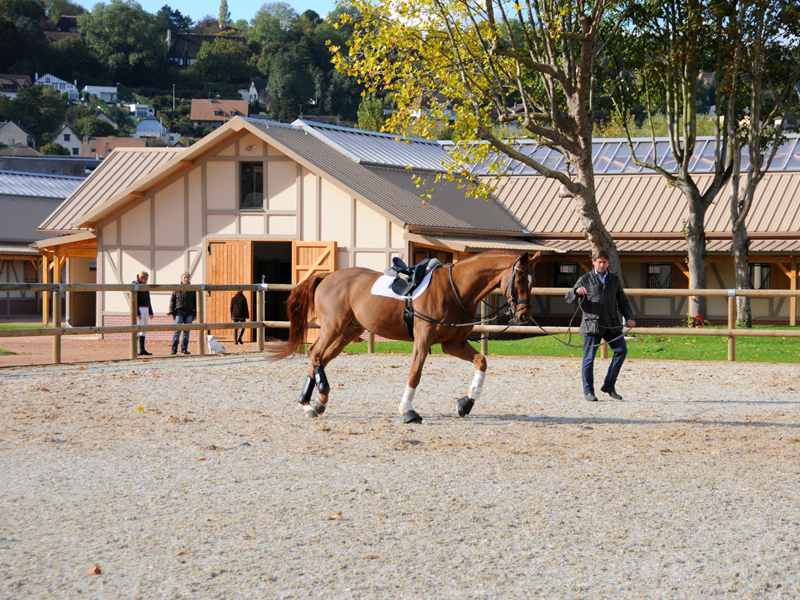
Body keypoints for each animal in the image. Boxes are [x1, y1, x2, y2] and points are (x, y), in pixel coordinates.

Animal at [268, 251, 536, 424]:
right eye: (519, 279)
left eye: (533, 281)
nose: (523, 316)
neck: (456, 288)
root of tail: (326, 276)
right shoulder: (423, 340)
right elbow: (415, 374)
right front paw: (407, 411)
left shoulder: (453, 344)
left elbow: (482, 362)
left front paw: (466, 403)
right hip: (334, 328)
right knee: (314, 353)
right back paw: (315, 398)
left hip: (347, 332)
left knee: (320, 358)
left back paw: (313, 403)